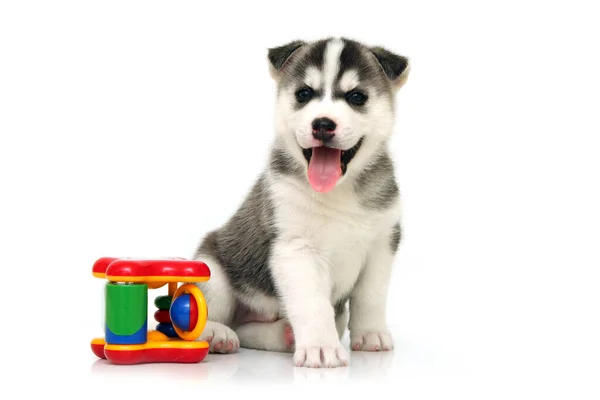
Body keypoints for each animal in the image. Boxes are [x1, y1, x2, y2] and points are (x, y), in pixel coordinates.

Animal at [195, 37, 410, 368]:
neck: (339, 191)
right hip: (212, 268)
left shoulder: (382, 243)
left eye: (357, 97)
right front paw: (321, 347)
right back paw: (215, 333)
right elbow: (312, 303)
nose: (322, 123)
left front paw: (371, 334)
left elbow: (370, 296)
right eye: (304, 94)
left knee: (247, 329)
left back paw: (283, 335)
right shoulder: (296, 249)